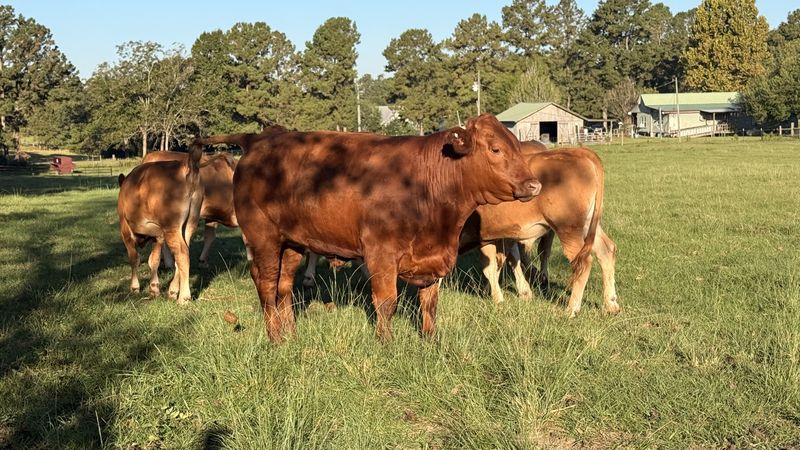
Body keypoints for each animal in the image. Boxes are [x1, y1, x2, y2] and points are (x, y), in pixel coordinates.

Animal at [117, 144, 204, 304]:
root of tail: (185, 166)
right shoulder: (158, 235)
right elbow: (154, 260)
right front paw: (154, 288)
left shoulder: (125, 229)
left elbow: (134, 258)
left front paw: (134, 287)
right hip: (190, 224)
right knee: (184, 252)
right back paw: (173, 290)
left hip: (171, 227)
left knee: (182, 254)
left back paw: (183, 297)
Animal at [198, 113, 541, 343]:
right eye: (495, 149)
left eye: (517, 146)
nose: (534, 184)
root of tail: (260, 139)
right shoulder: (380, 254)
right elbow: (386, 302)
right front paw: (386, 343)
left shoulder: (433, 258)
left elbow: (429, 303)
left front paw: (431, 342)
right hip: (263, 237)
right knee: (267, 284)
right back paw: (275, 338)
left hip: (292, 242)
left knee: (283, 285)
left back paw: (291, 334)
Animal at [459, 147, 620, 317]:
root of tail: (578, 151)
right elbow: (508, 260)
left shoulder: (484, 236)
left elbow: (490, 267)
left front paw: (497, 298)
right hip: (589, 225)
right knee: (606, 250)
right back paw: (611, 304)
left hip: (568, 228)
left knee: (584, 262)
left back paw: (571, 309)